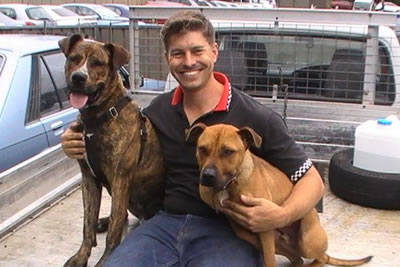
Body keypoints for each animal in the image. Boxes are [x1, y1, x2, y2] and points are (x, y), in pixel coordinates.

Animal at [59, 34, 164, 266]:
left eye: (98, 63)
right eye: (73, 58)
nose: (78, 77)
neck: (98, 118)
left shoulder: (120, 178)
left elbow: (115, 229)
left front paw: (106, 258)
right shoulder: (88, 178)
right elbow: (87, 224)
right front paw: (81, 256)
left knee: (123, 216)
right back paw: (102, 222)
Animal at [186, 124, 374, 267]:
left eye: (228, 152)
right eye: (202, 149)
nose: (207, 175)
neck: (231, 182)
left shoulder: (263, 227)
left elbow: (269, 260)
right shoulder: (245, 230)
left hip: (307, 242)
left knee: (322, 257)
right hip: (278, 239)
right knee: (297, 258)